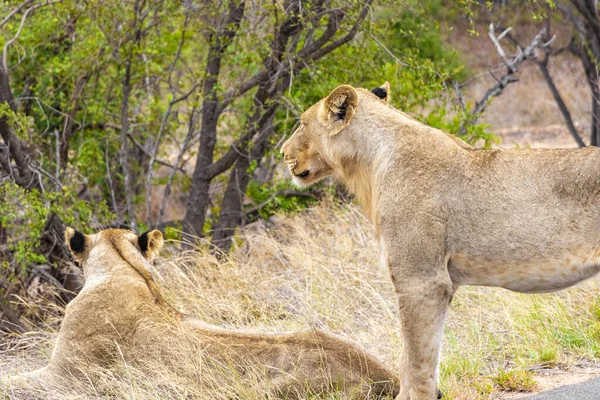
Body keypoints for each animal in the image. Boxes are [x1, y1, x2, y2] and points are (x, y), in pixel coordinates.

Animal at [282, 83, 600, 398]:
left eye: (302, 124)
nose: (283, 152)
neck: (371, 165)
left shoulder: (423, 282)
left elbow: (418, 362)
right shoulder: (436, 282)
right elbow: (409, 359)